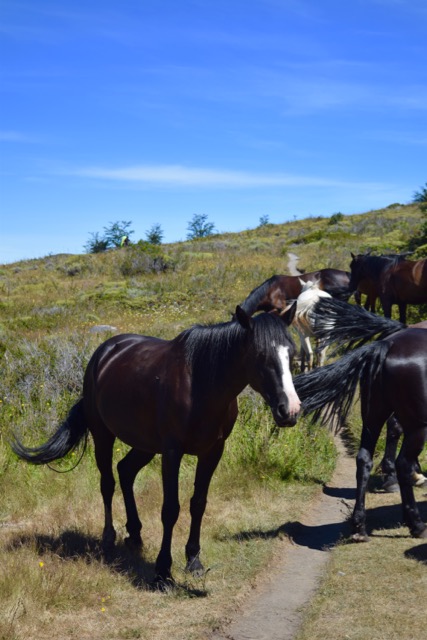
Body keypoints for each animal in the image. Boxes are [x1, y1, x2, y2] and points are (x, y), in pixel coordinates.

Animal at [11, 304, 302, 584]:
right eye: (260, 354)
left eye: (291, 353)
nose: (289, 409)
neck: (201, 385)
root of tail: (103, 353)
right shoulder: (172, 452)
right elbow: (170, 509)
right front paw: (163, 570)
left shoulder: (212, 451)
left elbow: (198, 503)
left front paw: (193, 561)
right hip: (103, 435)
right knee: (107, 483)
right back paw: (109, 538)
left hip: (145, 445)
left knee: (125, 471)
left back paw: (135, 534)